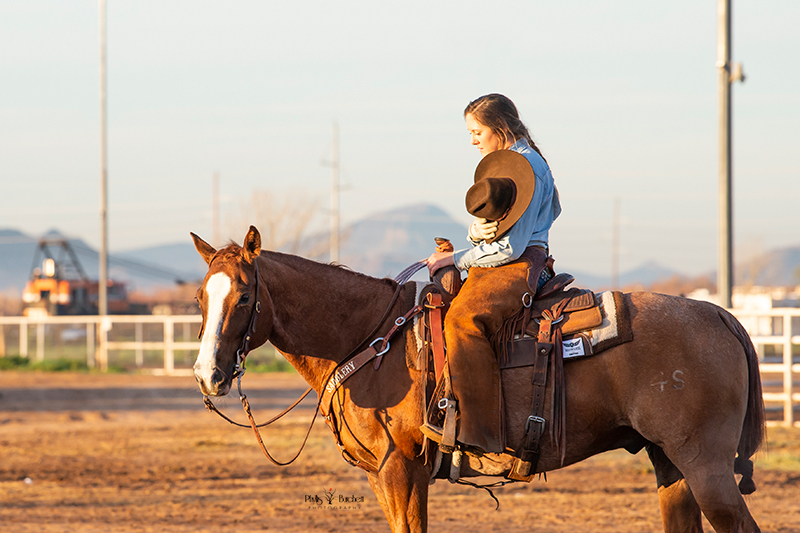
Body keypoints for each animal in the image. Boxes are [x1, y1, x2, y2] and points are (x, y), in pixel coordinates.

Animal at [191, 227, 764, 532]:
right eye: (200, 297)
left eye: (245, 295)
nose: (206, 374)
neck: (371, 338)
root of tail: (720, 315)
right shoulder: (383, 474)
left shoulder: (402, 469)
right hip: (670, 465)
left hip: (706, 467)